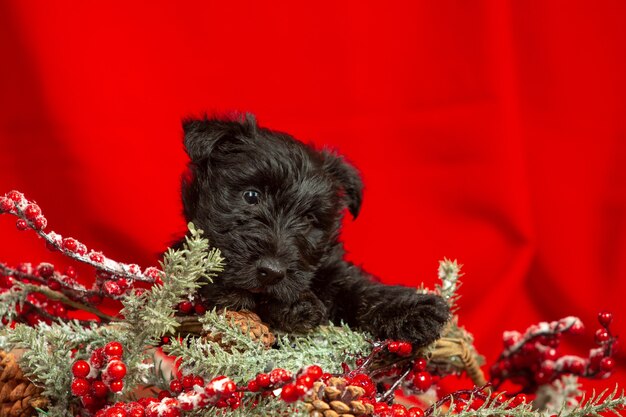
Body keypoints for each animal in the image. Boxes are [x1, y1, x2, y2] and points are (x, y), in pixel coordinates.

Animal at [178, 114, 446, 348]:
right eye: (251, 196)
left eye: (308, 219)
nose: (272, 272)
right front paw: (298, 305)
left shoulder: (334, 269)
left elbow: (360, 287)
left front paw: (414, 310)